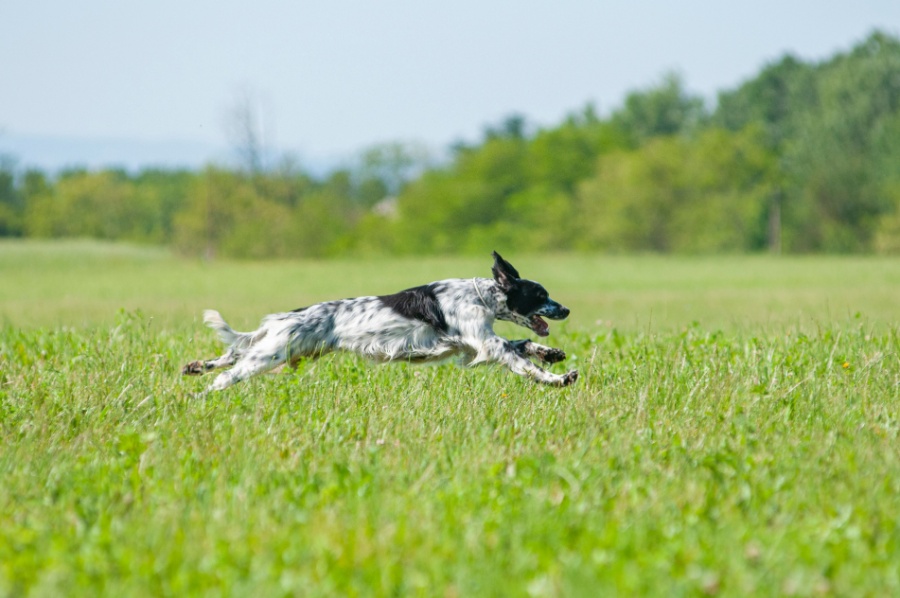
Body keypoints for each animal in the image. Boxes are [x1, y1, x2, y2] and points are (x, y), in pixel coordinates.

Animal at [182, 251, 576, 392]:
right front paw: (558, 379)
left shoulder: (473, 347)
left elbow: (524, 345)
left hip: (279, 349)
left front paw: (552, 353)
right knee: (228, 374)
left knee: (231, 354)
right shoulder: (486, 343)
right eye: (540, 295)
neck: (479, 296)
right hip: (272, 353)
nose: (566, 310)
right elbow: (524, 363)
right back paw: (202, 395)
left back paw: (196, 366)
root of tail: (286, 316)